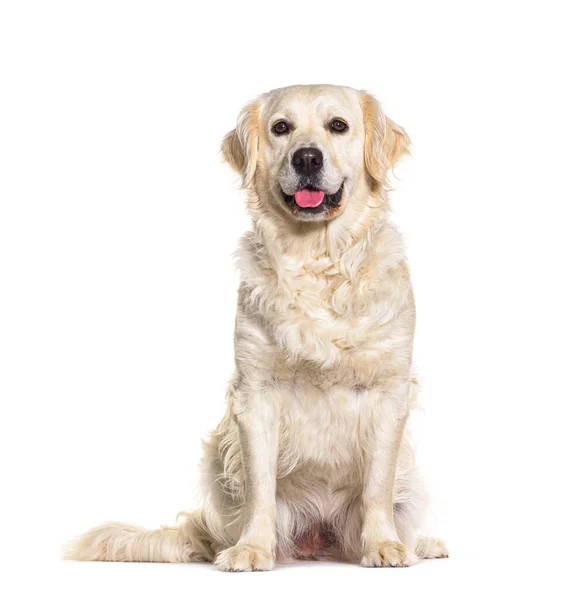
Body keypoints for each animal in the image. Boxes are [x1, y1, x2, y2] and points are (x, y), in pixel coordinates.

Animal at [65, 84, 448, 572]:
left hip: (409, 477)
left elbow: (377, 485)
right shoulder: (256, 393)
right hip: (218, 462)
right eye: (281, 127)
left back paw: (421, 543)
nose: (307, 158)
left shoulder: (389, 389)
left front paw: (383, 545)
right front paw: (252, 549)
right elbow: (260, 486)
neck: (315, 257)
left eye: (338, 126)